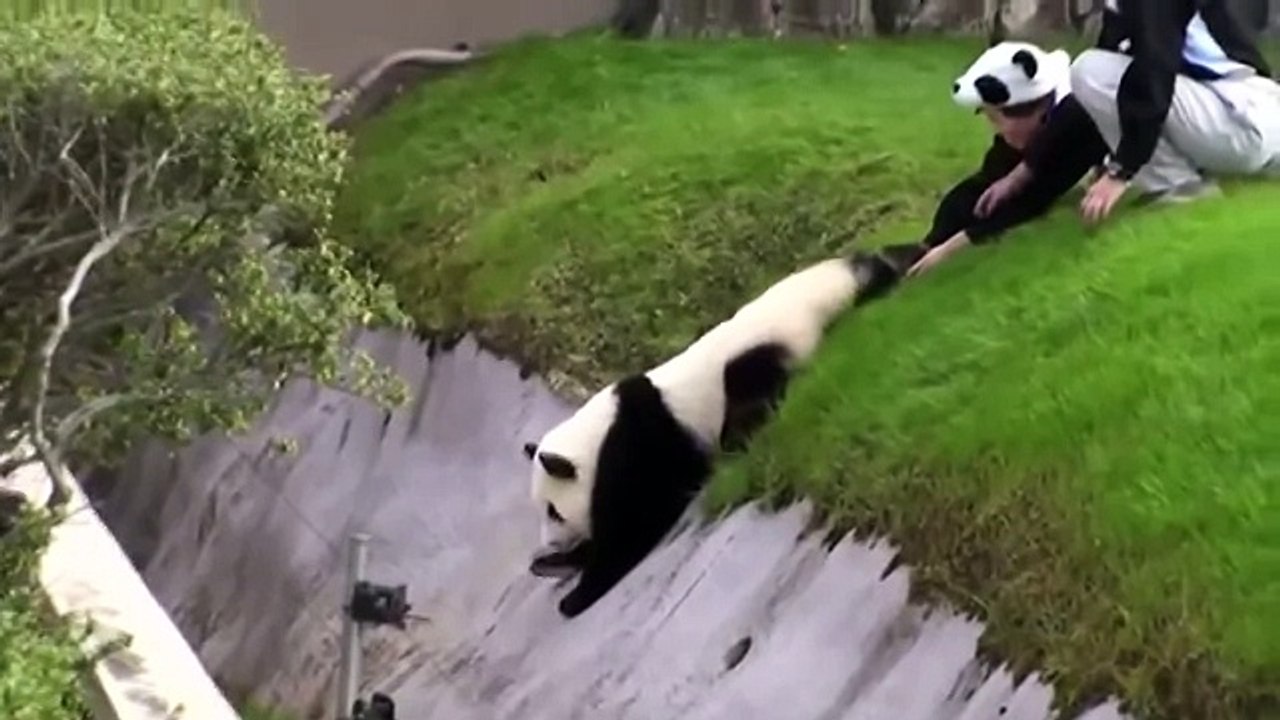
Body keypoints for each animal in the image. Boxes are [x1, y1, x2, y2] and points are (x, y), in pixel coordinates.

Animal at [521, 252, 882, 618]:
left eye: (554, 511)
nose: (550, 542)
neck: (593, 436)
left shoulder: (636, 445)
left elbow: (637, 521)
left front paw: (576, 593)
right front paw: (553, 563)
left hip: (754, 357)